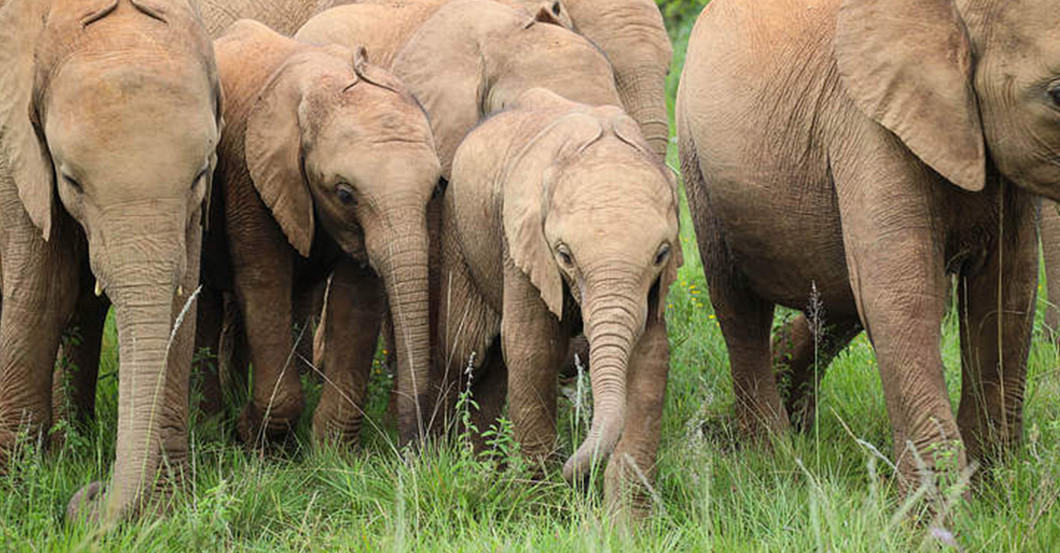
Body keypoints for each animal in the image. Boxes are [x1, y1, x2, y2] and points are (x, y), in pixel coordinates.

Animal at [0, 0, 222, 522]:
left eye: (201, 173)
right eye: (70, 180)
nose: (93, 493)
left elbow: (180, 299)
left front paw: (164, 509)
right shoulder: (16, 155)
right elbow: (39, 296)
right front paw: (18, 494)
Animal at [205, 20, 441, 447]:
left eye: (435, 190)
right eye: (344, 194)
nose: (412, 447)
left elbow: (357, 299)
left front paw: (333, 451)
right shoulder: (251, 174)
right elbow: (264, 283)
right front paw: (255, 436)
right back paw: (215, 423)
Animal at [438, 87, 680, 516]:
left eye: (662, 254)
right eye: (564, 255)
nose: (576, 477)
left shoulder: (654, 288)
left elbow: (650, 357)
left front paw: (628, 522)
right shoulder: (521, 243)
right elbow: (532, 349)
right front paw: (542, 507)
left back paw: (484, 470)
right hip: (457, 228)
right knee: (467, 350)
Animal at [677, 0, 1060, 491]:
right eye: (1058, 95)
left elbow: (1006, 293)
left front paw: (992, 489)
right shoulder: (867, 124)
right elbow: (901, 298)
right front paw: (939, 511)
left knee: (837, 302)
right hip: (697, 161)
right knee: (739, 307)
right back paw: (774, 459)